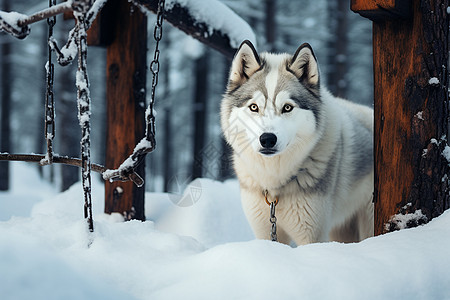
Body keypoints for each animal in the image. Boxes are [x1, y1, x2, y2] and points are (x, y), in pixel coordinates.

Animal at [221, 40, 372, 246]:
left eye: (287, 107)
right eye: (254, 107)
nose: (267, 139)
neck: (275, 183)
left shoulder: (312, 235)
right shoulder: (266, 232)